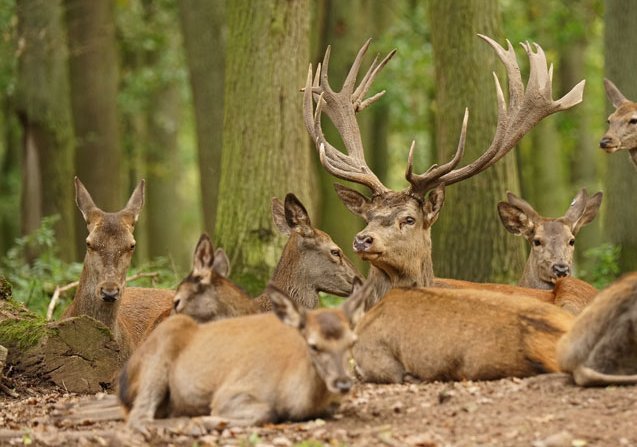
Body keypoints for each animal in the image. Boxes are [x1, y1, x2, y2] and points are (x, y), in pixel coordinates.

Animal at [118, 282, 366, 432]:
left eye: (352, 342)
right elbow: (264, 411)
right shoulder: (233, 389)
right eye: (313, 345)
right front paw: (205, 420)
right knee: (138, 415)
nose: (343, 383)